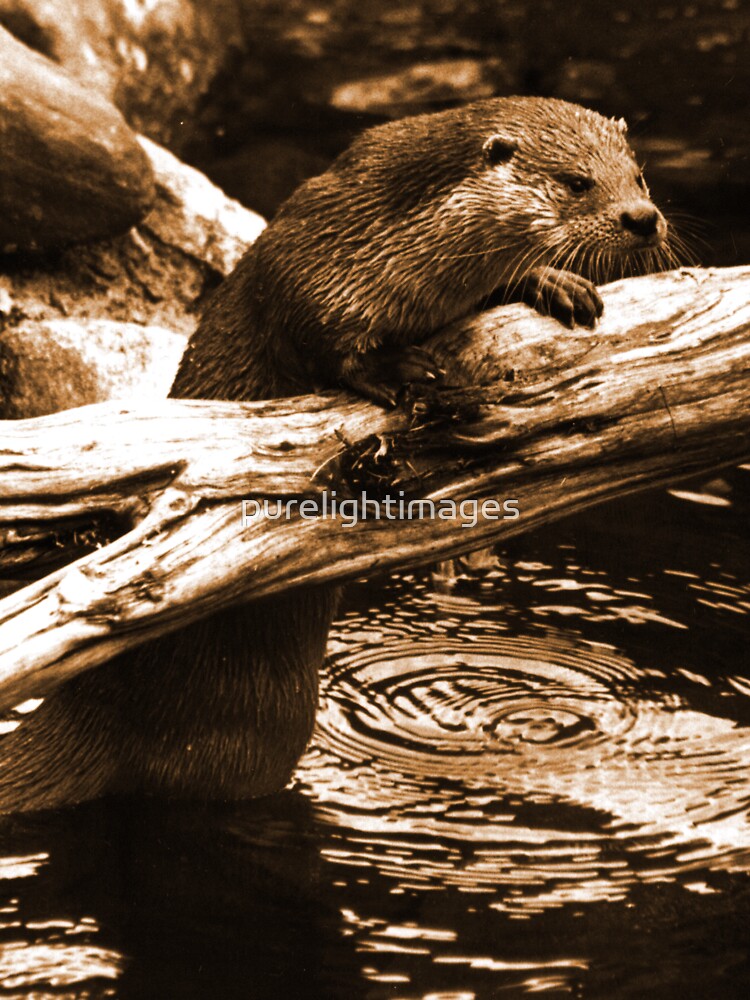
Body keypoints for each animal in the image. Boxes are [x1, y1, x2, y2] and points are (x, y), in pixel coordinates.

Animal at [0, 97, 668, 812]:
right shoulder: (307, 259)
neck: (400, 243)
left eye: (638, 175)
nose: (643, 217)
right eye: (577, 183)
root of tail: (91, 713)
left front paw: (556, 284)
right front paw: (400, 368)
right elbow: (315, 335)